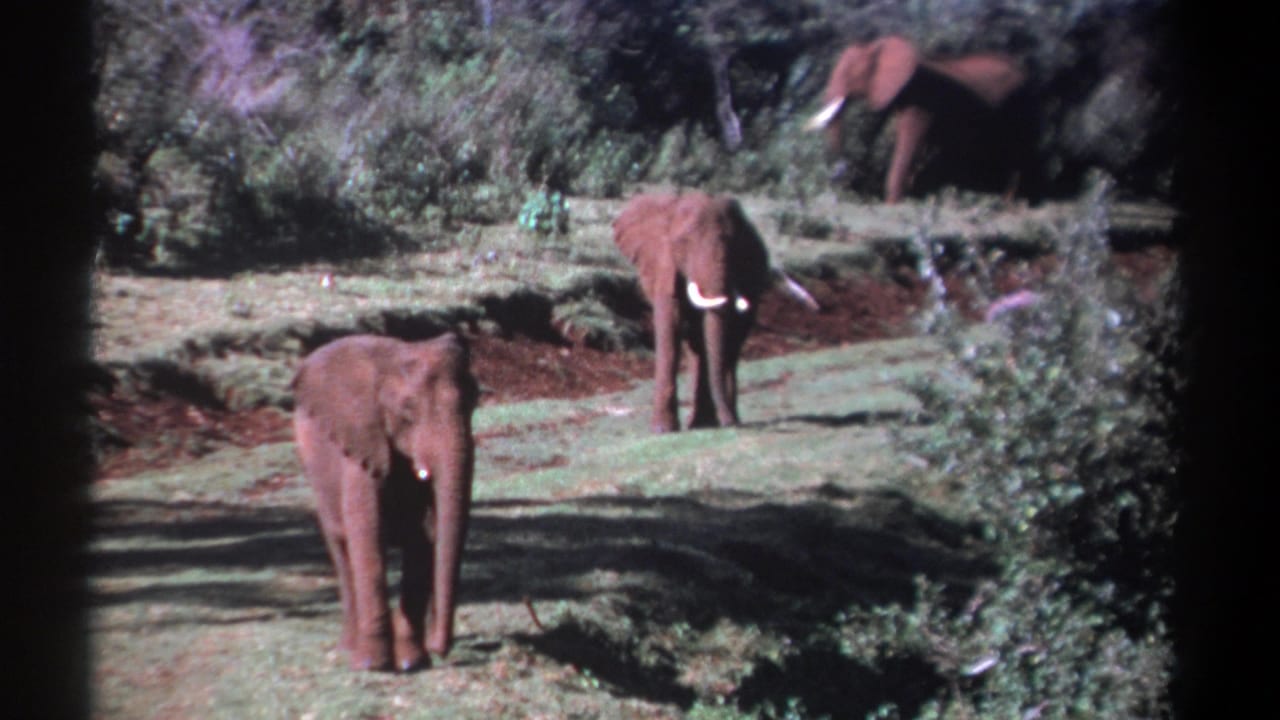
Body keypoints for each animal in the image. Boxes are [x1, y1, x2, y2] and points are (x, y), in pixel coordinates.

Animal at [291, 332, 479, 672]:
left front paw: (411, 663)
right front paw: (374, 665)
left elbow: (423, 538)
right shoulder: (361, 444)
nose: (441, 649)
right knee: (342, 549)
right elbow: (368, 535)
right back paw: (349, 649)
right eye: (407, 410)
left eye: (475, 401)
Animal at [613, 191, 774, 433]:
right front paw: (662, 430)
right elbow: (671, 324)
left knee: (729, 346)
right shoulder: (664, 263)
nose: (729, 425)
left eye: (733, 245)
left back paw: (713, 420)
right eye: (683, 243)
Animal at [805, 36, 1035, 204]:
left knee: (1017, 155)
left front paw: (894, 204)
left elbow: (908, 146)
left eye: (849, 73)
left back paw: (1008, 203)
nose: (841, 172)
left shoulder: (922, 101)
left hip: (1021, 105)